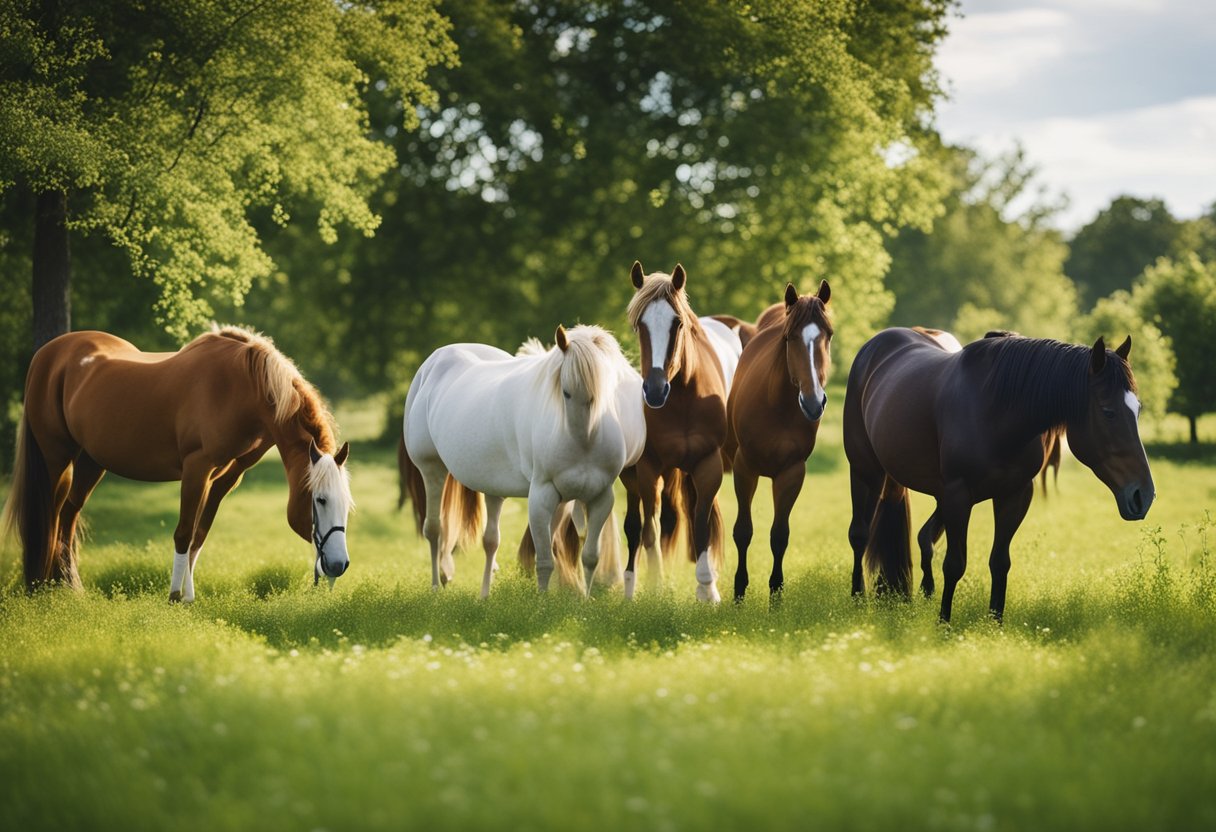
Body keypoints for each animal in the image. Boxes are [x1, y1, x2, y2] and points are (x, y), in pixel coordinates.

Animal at [2, 325, 352, 599]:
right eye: (319, 499)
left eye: (346, 504)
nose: (338, 565)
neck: (240, 387)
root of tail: (48, 354)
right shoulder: (197, 468)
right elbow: (184, 532)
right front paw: (172, 597)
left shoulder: (225, 476)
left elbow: (200, 533)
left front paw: (188, 597)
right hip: (57, 457)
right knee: (49, 514)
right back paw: (39, 587)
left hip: (91, 461)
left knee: (68, 514)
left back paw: (68, 587)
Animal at [399, 324, 645, 596]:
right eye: (565, 390)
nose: (582, 436)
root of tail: (434, 361)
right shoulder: (542, 496)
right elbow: (545, 560)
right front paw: (543, 602)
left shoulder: (600, 498)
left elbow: (590, 556)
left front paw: (584, 599)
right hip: (431, 469)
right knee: (434, 530)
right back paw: (435, 587)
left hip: (492, 487)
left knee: (490, 540)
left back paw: (484, 595)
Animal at [621, 261, 734, 602]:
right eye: (639, 325)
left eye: (678, 323)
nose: (655, 390)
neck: (685, 396)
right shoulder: (648, 470)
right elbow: (651, 529)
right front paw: (655, 586)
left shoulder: (708, 465)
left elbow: (701, 524)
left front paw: (707, 590)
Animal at [725, 281, 833, 601]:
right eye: (790, 337)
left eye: (828, 335)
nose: (813, 402)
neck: (778, 407)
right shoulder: (744, 469)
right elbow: (743, 531)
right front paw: (739, 592)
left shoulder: (791, 473)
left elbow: (779, 535)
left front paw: (776, 594)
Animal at [844, 327, 1154, 622]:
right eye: (1108, 412)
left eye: (1138, 409)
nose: (1144, 495)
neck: (996, 412)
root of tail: (876, 345)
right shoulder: (958, 495)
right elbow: (955, 564)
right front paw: (944, 624)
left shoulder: (1014, 494)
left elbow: (1000, 562)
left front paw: (995, 625)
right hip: (866, 472)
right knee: (860, 534)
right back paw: (858, 599)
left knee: (923, 537)